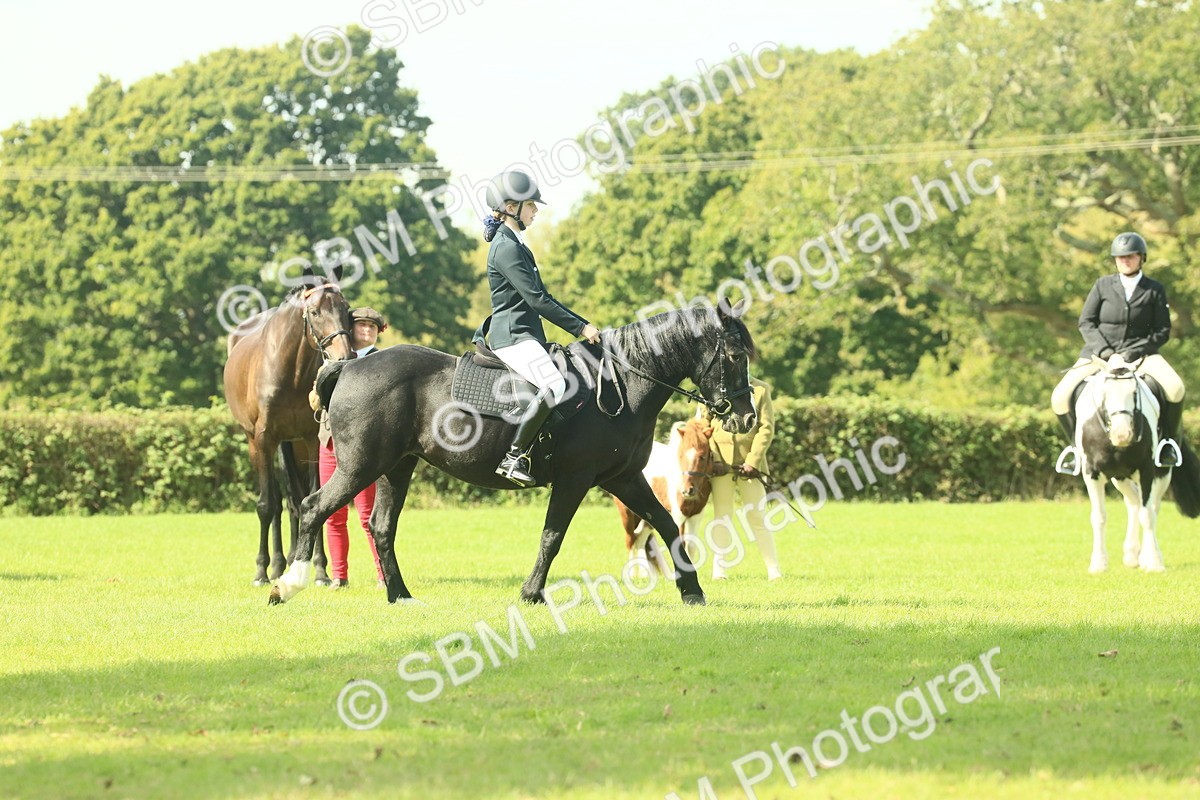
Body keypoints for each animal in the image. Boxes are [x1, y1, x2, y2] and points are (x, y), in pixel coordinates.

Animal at [223, 276, 356, 586]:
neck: (289, 370)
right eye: (315, 312)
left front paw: (319, 570)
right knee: (277, 504)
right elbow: (266, 505)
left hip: (291, 445)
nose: (344, 356)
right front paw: (261, 570)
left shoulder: (309, 439)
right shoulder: (264, 439)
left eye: (346, 309)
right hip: (259, 444)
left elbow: (311, 497)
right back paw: (274, 565)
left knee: (295, 500)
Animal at [614, 418, 716, 576]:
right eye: (681, 455)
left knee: (640, 540)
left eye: (703, 456)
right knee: (630, 540)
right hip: (627, 513)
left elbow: (691, 546)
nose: (687, 490)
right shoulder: (678, 516)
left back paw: (643, 575)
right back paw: (632, 575)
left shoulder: (696, 516)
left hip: (648, 518)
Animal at [1072, 357, 1200, 573]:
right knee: (1133, 503)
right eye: (1105, 394)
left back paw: (1147, 556)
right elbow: (1099, 517)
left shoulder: (1146, 469)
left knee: (1151, 507)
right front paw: (1098, 563)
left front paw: (1154, 563)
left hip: (1162, 472)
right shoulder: (1092, 473)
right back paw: (1132, 554)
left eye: (1134, 393)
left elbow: (1147, 515)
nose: (1122, 435)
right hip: (1120, 476)